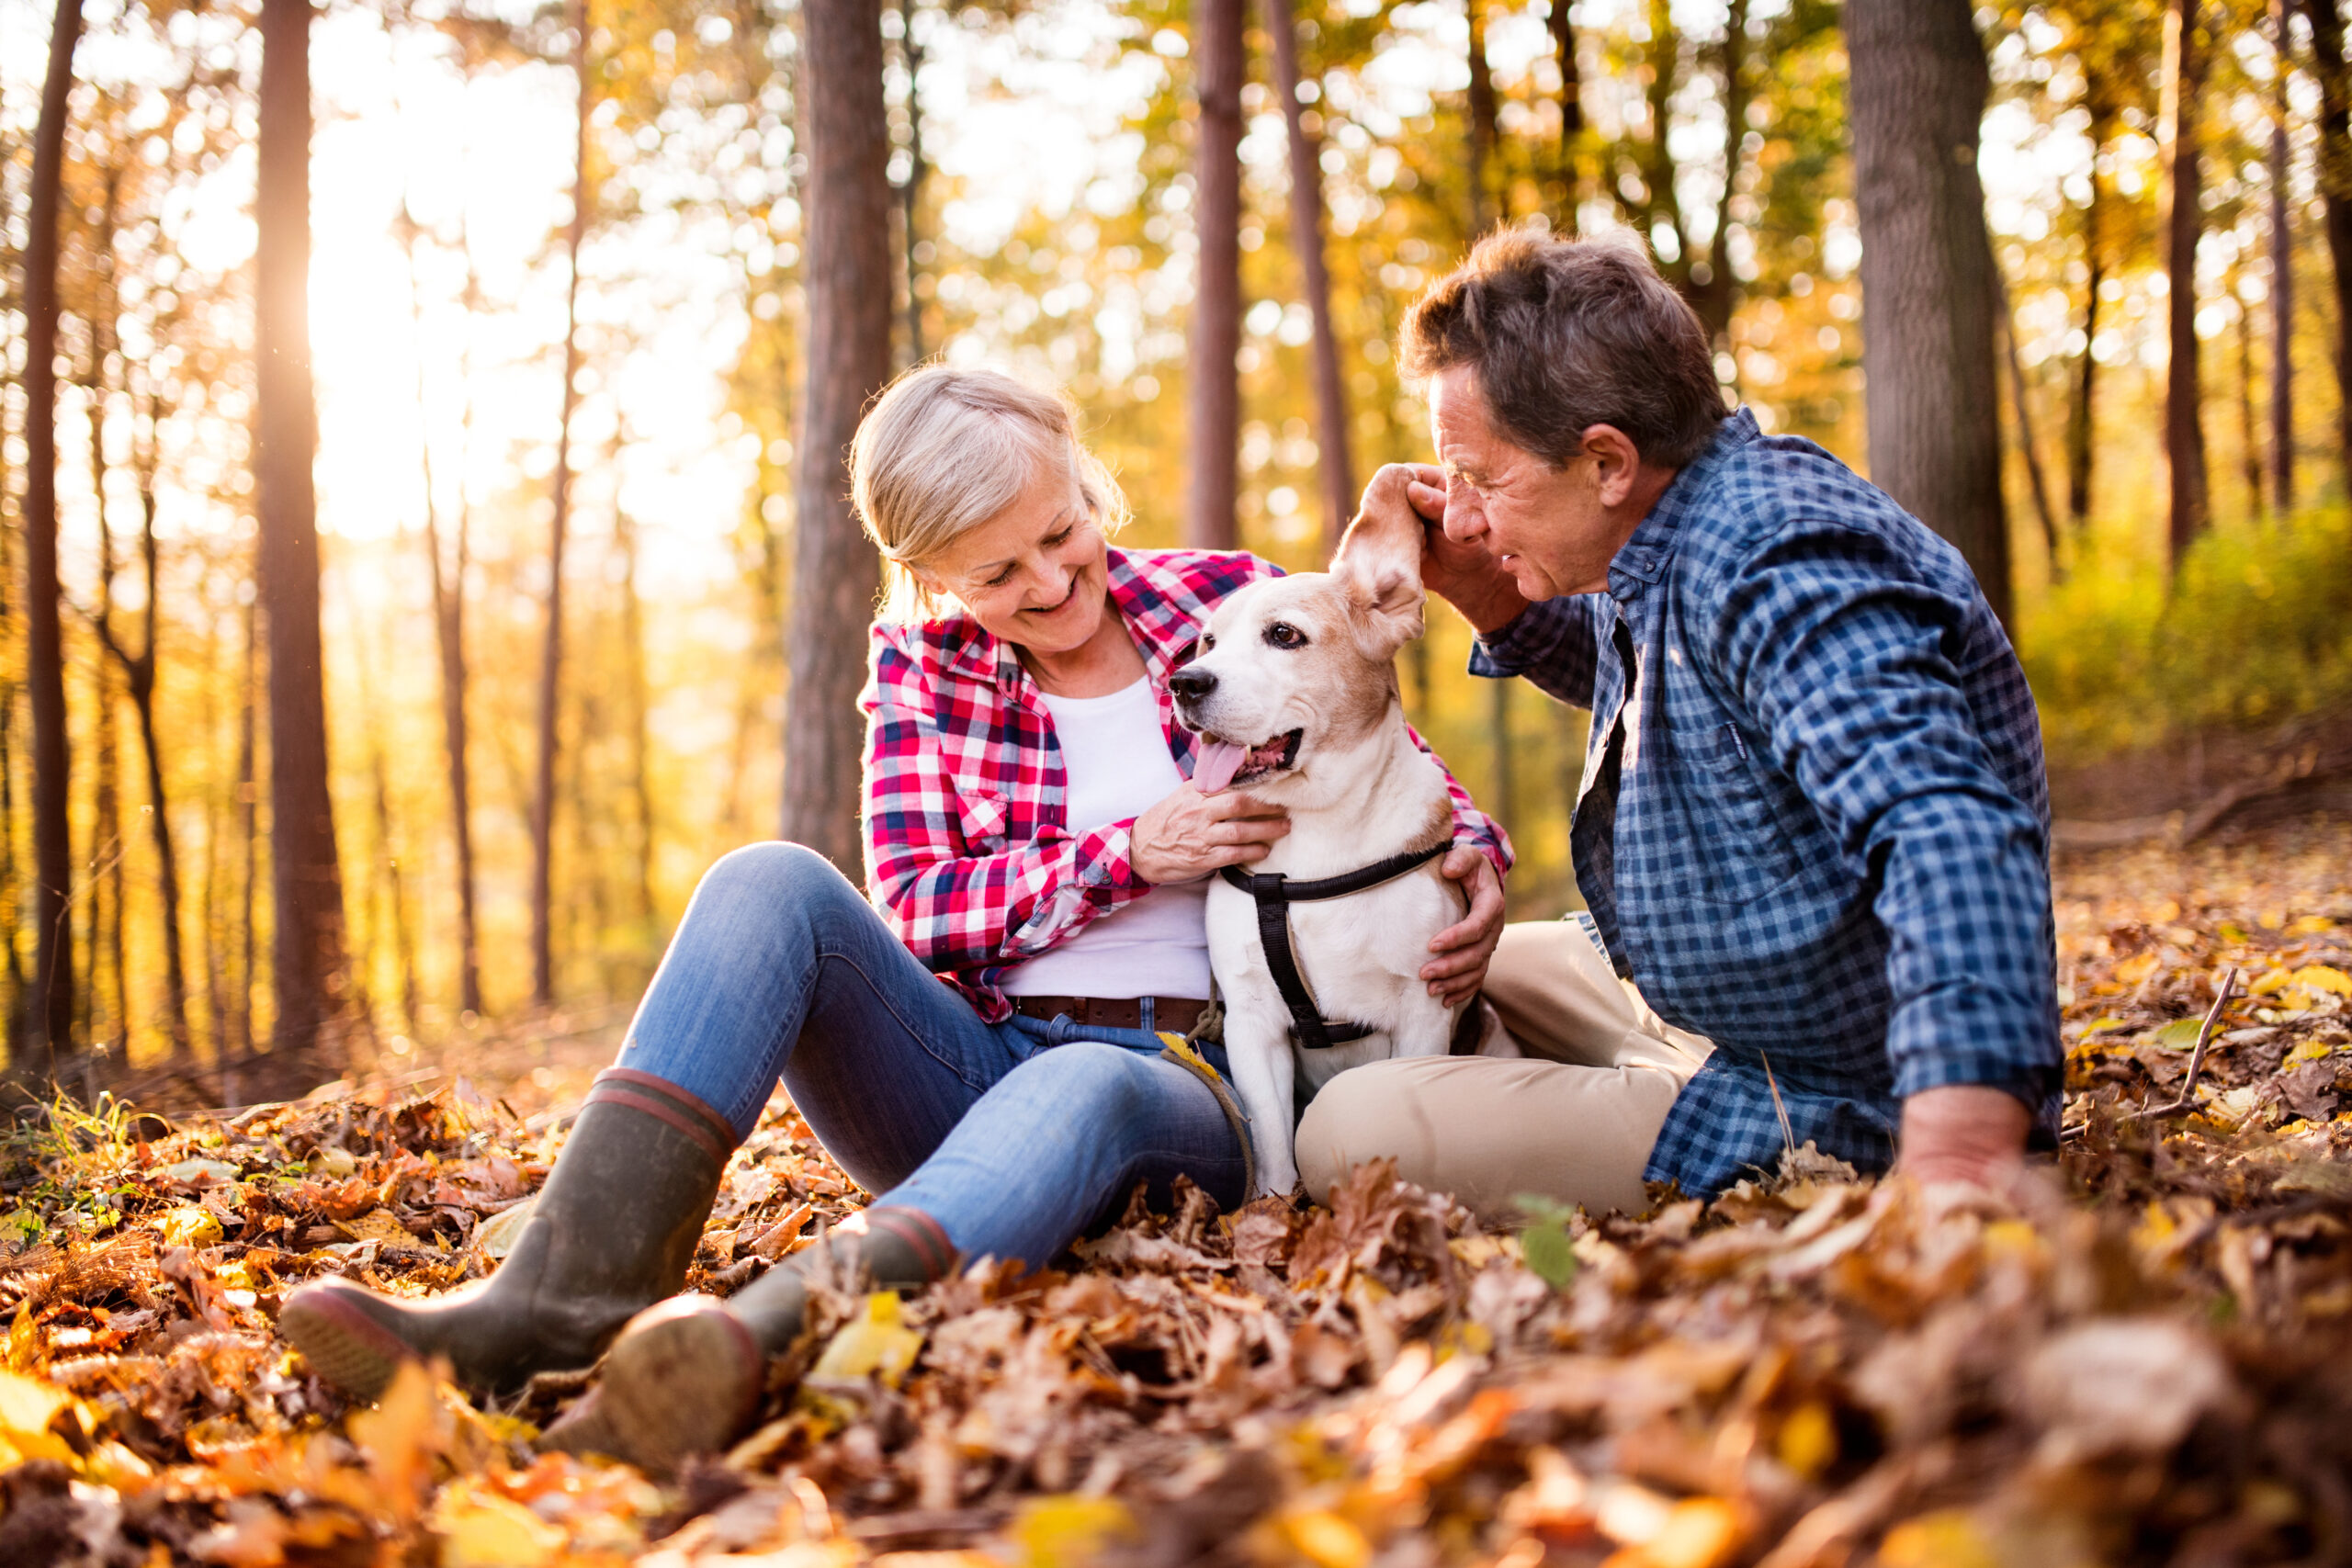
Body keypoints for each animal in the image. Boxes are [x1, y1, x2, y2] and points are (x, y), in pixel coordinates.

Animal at [1170, 502, 1476, 1203]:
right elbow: (1273, 1150)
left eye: (1284, 635)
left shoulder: (1424, 1011)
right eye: (1208, 642)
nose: (1184, 682)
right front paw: (1273, 1218)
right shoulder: (1251, 1023)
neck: (1317, 830)